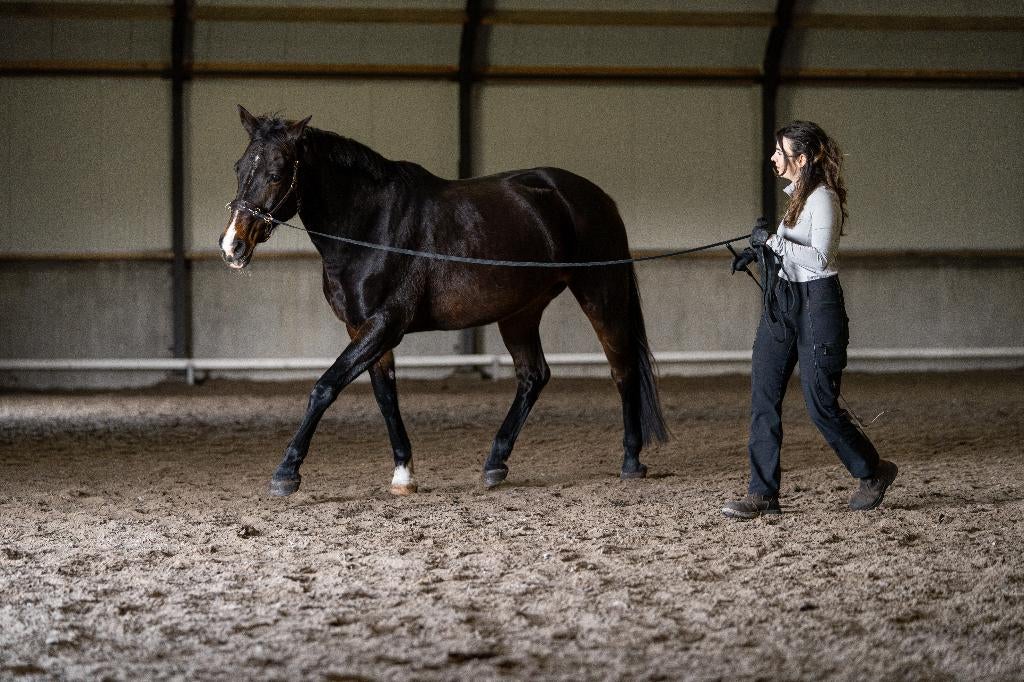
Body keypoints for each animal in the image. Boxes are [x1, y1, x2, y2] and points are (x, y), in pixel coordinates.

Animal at [219, 106, 669, 497]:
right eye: (239, 168)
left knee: (623, 369)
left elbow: (325, 387)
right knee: (533, 376)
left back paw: (631, 461)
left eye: (277, 173)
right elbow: (385, 397)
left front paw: (286, 472)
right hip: (520, 313)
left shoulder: (385, 324)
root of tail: (597, 197)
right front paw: (403, 475)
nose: (232, 246)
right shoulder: (362, 328)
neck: (372, 225)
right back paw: (495, 463)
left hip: (600, 294)